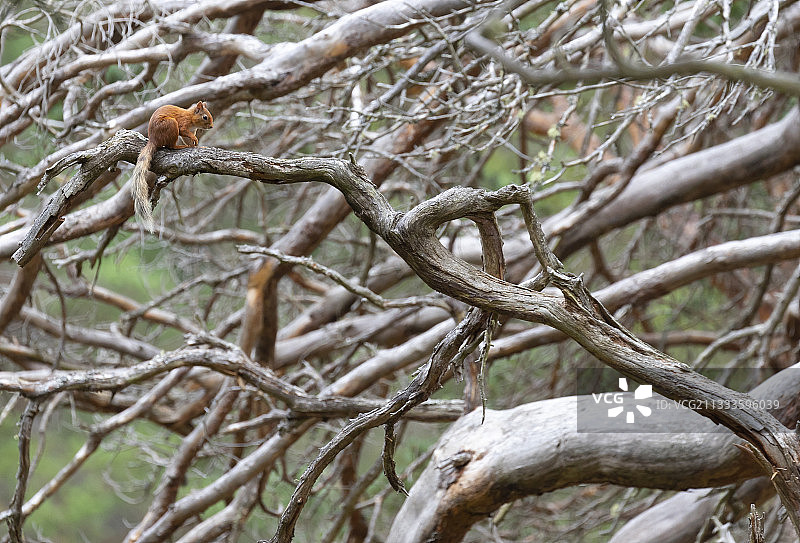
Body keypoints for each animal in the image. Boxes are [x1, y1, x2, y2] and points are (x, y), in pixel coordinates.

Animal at [131, 101, 213, 232]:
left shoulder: (190, 132)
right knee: (171, 146)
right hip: (171, 125)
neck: (191, 117)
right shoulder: (183, 125)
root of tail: (153, 140)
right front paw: (194, 140)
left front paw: (198, 146)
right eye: (205, 117)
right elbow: (185, 132)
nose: (211, 126)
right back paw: (179, 147)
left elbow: (188, 140)